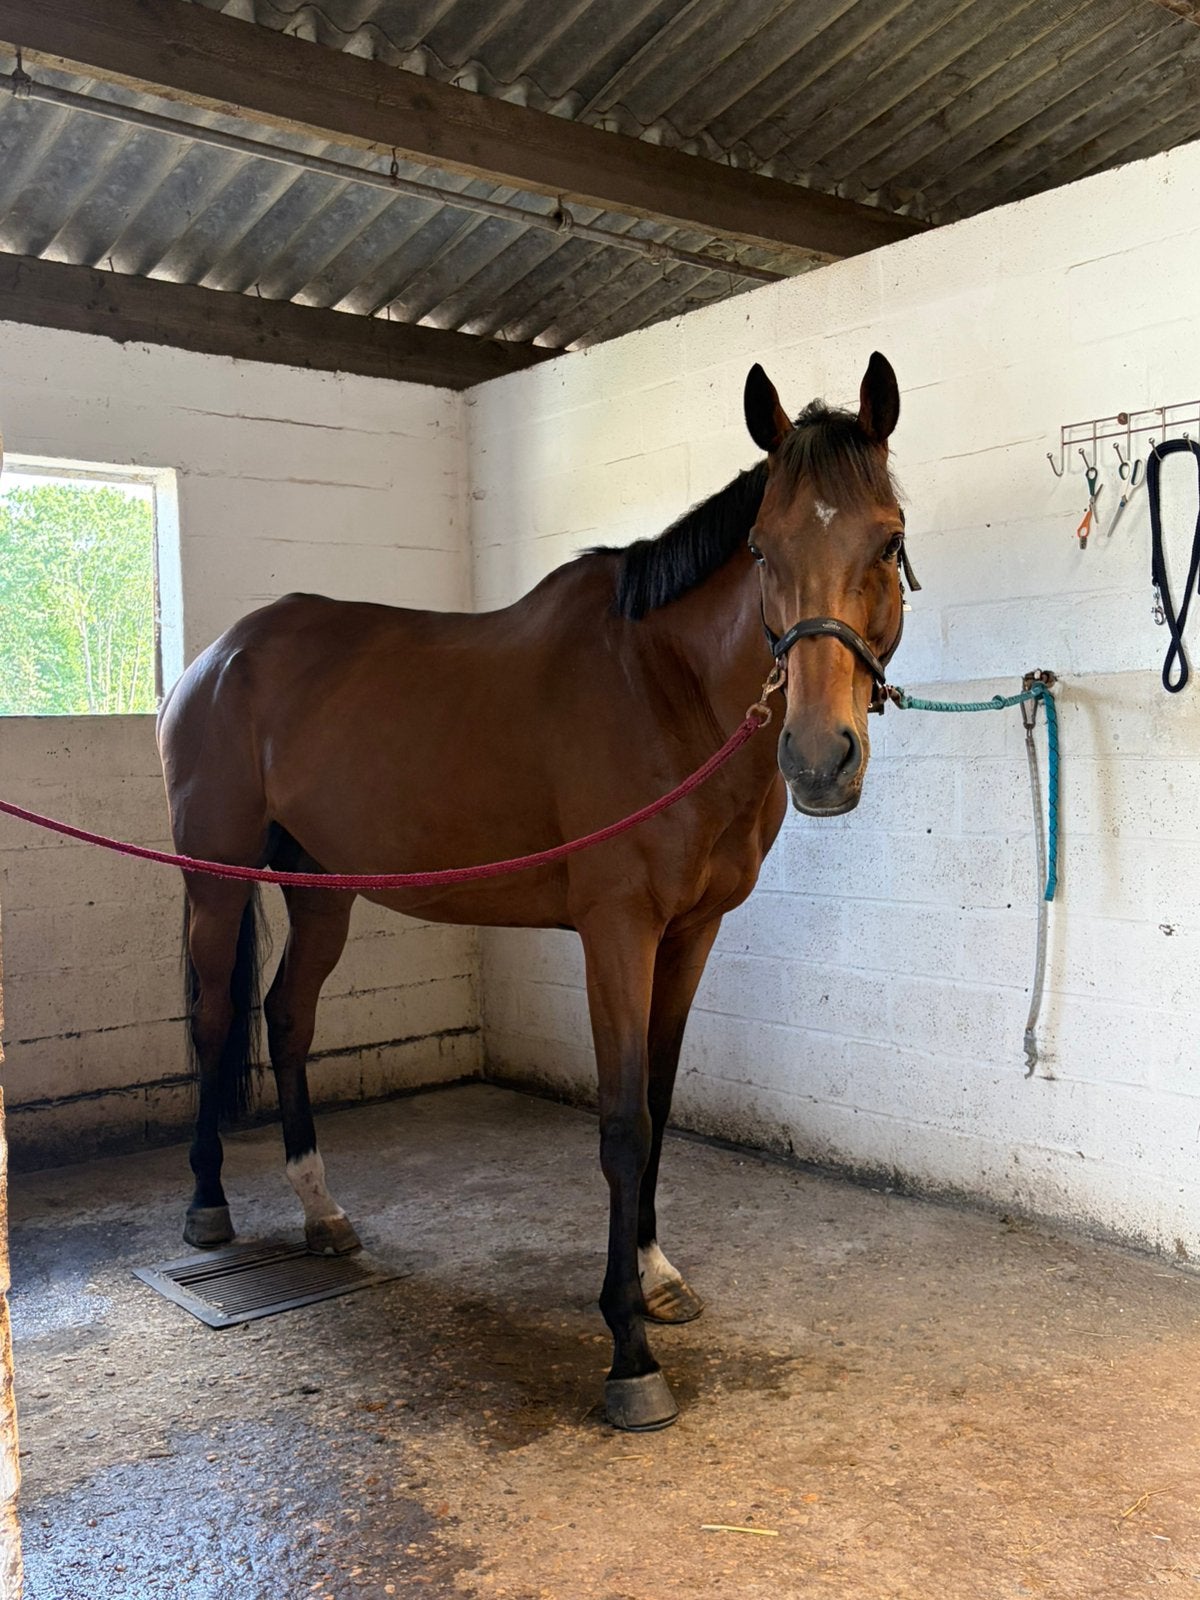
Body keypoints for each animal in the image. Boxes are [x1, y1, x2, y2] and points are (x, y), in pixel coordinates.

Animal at [156, 354, 907, 1431]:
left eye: (888, 540)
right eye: (762, 548)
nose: (818, 758)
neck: (660, 687)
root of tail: (220, 656)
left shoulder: (690, 933)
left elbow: (660, 1100)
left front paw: (656, 1276)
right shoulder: (616, 932)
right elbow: (623, 1122)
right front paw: (629, 1352)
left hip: (324, 887)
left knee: (288, 1016)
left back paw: (321, 1209)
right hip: (214, 885)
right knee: (218, 1022)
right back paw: (207, 1205)